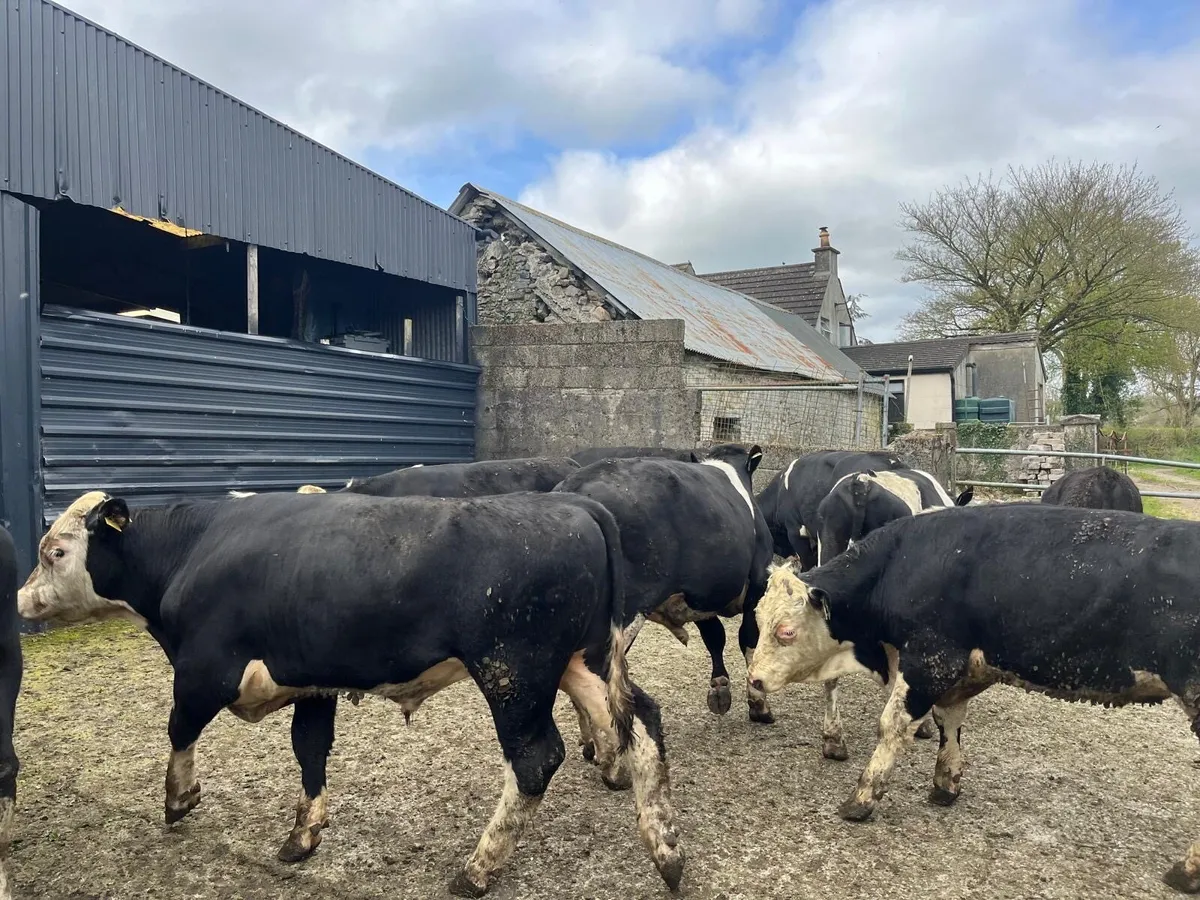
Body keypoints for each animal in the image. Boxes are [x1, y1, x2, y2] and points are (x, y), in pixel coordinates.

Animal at [18, 490, 683, 897]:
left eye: (54, 551)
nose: (21, 599)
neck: (197, 546)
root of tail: (574, 503)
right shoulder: (312, 679)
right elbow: (310, 750)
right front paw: (304, 833)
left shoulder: (205, 668)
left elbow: (180, 727)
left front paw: (179, 799)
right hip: (583, 661)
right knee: (642, 724)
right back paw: (667, 851)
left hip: (512, 671)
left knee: (536, 759)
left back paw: (477, 869)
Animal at [555, 443, 778, 736]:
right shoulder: (758, 582)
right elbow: (748, 639)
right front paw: (759, 705)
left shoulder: (699, 594)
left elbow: (715, 636)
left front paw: (720, 689)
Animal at [747, 503, 1200, 894]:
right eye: (757, 618)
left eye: (786, 631)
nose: (754, 679)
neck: (899, 565)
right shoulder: (959, 671)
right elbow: (948, 721)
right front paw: (945, 783)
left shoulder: (931, 661)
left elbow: (891, 726)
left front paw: (861, 799)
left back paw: (1187, 870)